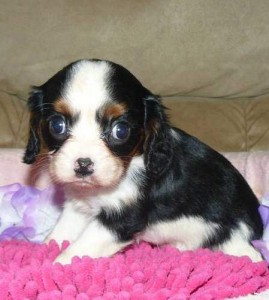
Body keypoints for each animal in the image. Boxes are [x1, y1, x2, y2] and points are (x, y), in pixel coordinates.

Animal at [23, 58, 262, 262]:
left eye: (121, 130)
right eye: (57, 125)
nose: (84, 164)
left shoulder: (121, 219)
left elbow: (78, 250)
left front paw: (55, 266)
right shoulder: (77, 207)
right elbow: (59, 234)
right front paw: (43, 250)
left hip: (227, 236)